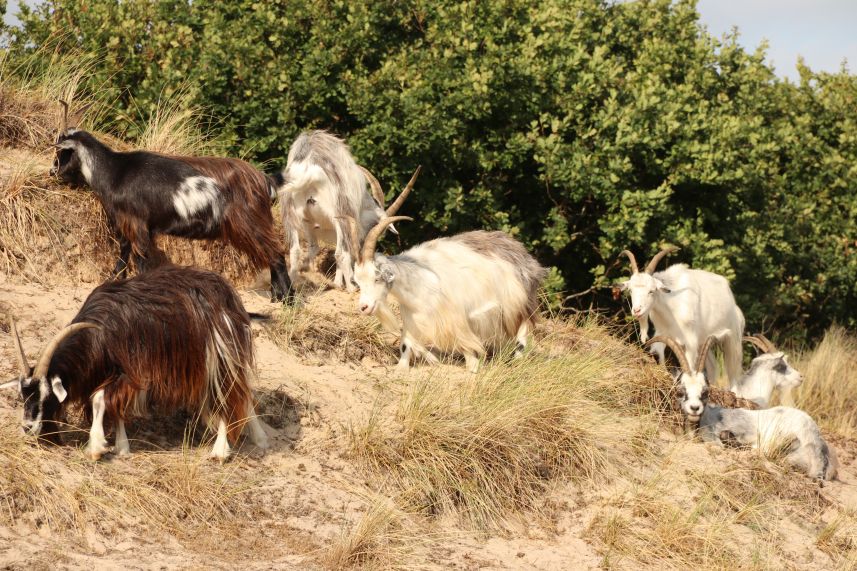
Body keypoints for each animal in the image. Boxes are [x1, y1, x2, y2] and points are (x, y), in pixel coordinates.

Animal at [0, 266, 268, 462]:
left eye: (46, 395)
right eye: (23, 395)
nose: (27, 427)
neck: (100, 333)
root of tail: (230, 297)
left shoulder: (131, 371)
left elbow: (99, 400)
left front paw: (96, 447)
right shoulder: (112, 372)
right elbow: (115, 405)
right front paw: (121, 447)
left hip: (219, 356)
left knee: (226, 394)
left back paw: (220, 451)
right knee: (240, 392)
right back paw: (258, 436)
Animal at [53, 101, 294, 304]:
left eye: (61, 151)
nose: (52, 171)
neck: (115, 171)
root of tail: (263, 179)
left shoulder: (133, 221)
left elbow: (136, 257)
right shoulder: (137, 225)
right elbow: (127, 254)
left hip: (250, 222)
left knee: (276, 254)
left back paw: (289, 300)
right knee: (272, 255)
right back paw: (277, 298)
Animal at [276, 130, 406, 290]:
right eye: (374, 225)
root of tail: (311, 169)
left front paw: (335, 282)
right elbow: (346, 252)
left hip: (295, 216)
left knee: (298, 249)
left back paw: (294, 282)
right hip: (338, 215)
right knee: (341, 253)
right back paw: (352, 287)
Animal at [346, 174, 540, 374]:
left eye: (377, 277)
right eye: (358, 281)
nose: (364, 307)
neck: (422, 281)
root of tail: (521, 252)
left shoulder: (456, 321)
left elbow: (469, 354)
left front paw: (474, 368)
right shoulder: (412, 320)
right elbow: (406, 347)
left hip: (518, 302)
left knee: (524, 327)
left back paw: (518, 358)